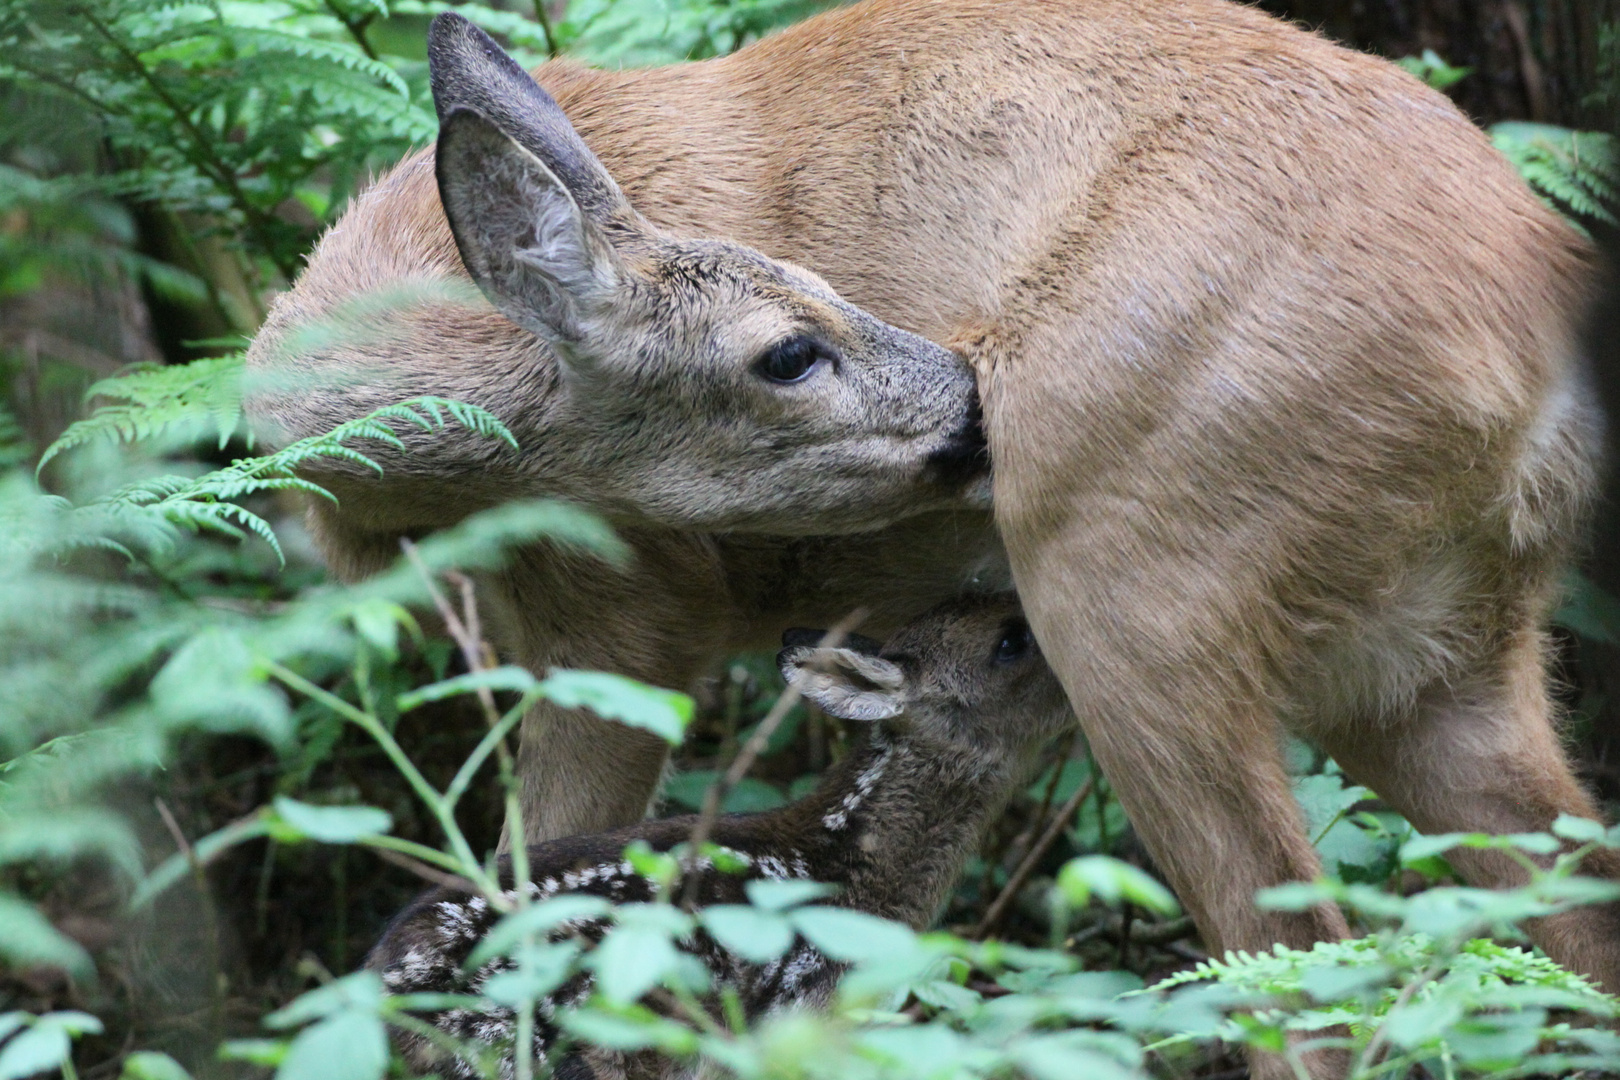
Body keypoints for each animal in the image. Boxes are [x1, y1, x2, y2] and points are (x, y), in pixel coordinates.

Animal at [243, 0, 1620, 1016]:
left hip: (1133, 586)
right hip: (1431, 649)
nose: (973, 399)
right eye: (790, 350)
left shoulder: (631, 622)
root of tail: (1544, 307)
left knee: (1303, 975)